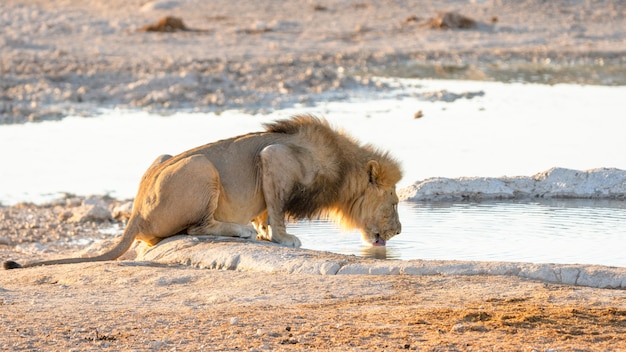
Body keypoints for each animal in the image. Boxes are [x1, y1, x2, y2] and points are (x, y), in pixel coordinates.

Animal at [2, 115, 402, 270]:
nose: (399, 231)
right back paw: (238, 230)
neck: (342, 168)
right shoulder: (274, 157)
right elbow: (275, 210)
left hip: (165, 157)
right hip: (202, 166)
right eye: (395, 202)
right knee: (196, 228)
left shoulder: (270, 168)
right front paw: (281, 238)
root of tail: (136, 211)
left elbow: (265, 211)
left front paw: (263, 232)